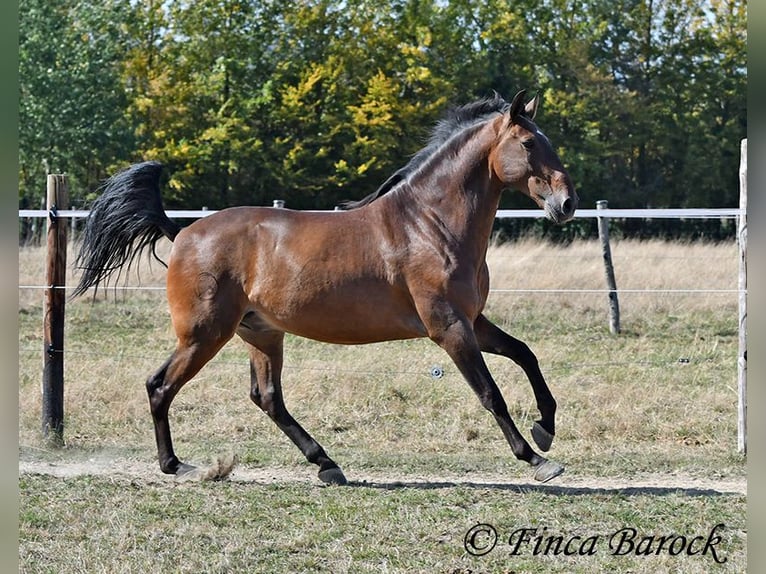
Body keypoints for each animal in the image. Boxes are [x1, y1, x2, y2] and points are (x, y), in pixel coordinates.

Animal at [73, 90, 578, 485]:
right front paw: (537, 459)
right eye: (529, 142)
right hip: (204, 334)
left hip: (260, 333)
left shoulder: (473, 321)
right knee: (160, 386)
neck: (430, 223)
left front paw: (545, 427)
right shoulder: (450, 328)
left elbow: (526, 354)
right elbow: (490, 393)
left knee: (267, 398)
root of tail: (181, 233)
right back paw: (177, 466)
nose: (567, 203)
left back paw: (326, 464)